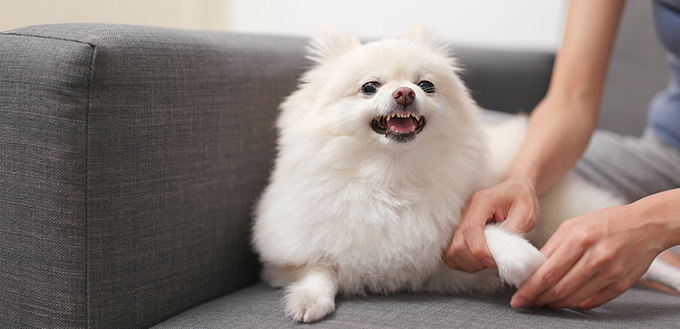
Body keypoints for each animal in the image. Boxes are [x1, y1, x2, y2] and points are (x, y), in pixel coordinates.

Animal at [251, 26, 680, 322]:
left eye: (426, 85)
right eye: (369, 87)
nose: (405, 93)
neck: (391, 177)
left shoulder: (460, 235)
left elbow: (488, 230)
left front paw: (523, 259)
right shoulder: (288, 256)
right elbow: (319, 267)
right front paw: (309, 299)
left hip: (570, 213)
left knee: (659, 262)